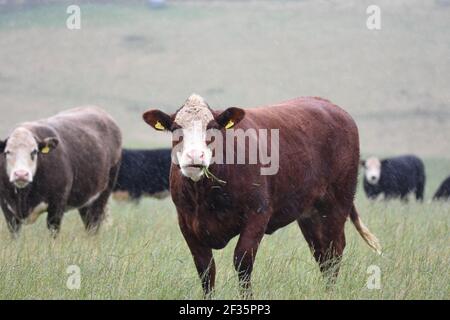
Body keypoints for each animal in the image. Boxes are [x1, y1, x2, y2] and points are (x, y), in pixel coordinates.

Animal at [0, 107, 121, 238]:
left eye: (34, 151)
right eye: (7, 152)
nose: (21, 174)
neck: (24, 196)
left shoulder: (57, 204)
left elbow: (53, 230)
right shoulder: (7, 209)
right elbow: (14, 233)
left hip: (103, 194)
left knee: (94, 224)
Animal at [143, 94, 380, 298]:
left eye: (212, 128)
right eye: (176, 128)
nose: (194, 156)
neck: (205, 195)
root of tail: (330, 106)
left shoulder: (257, 214)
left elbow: (243, 262)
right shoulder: (186, 223)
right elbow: (206, 270)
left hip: (336, 204)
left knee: (334, 251)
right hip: (310, 215)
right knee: (322, 254)